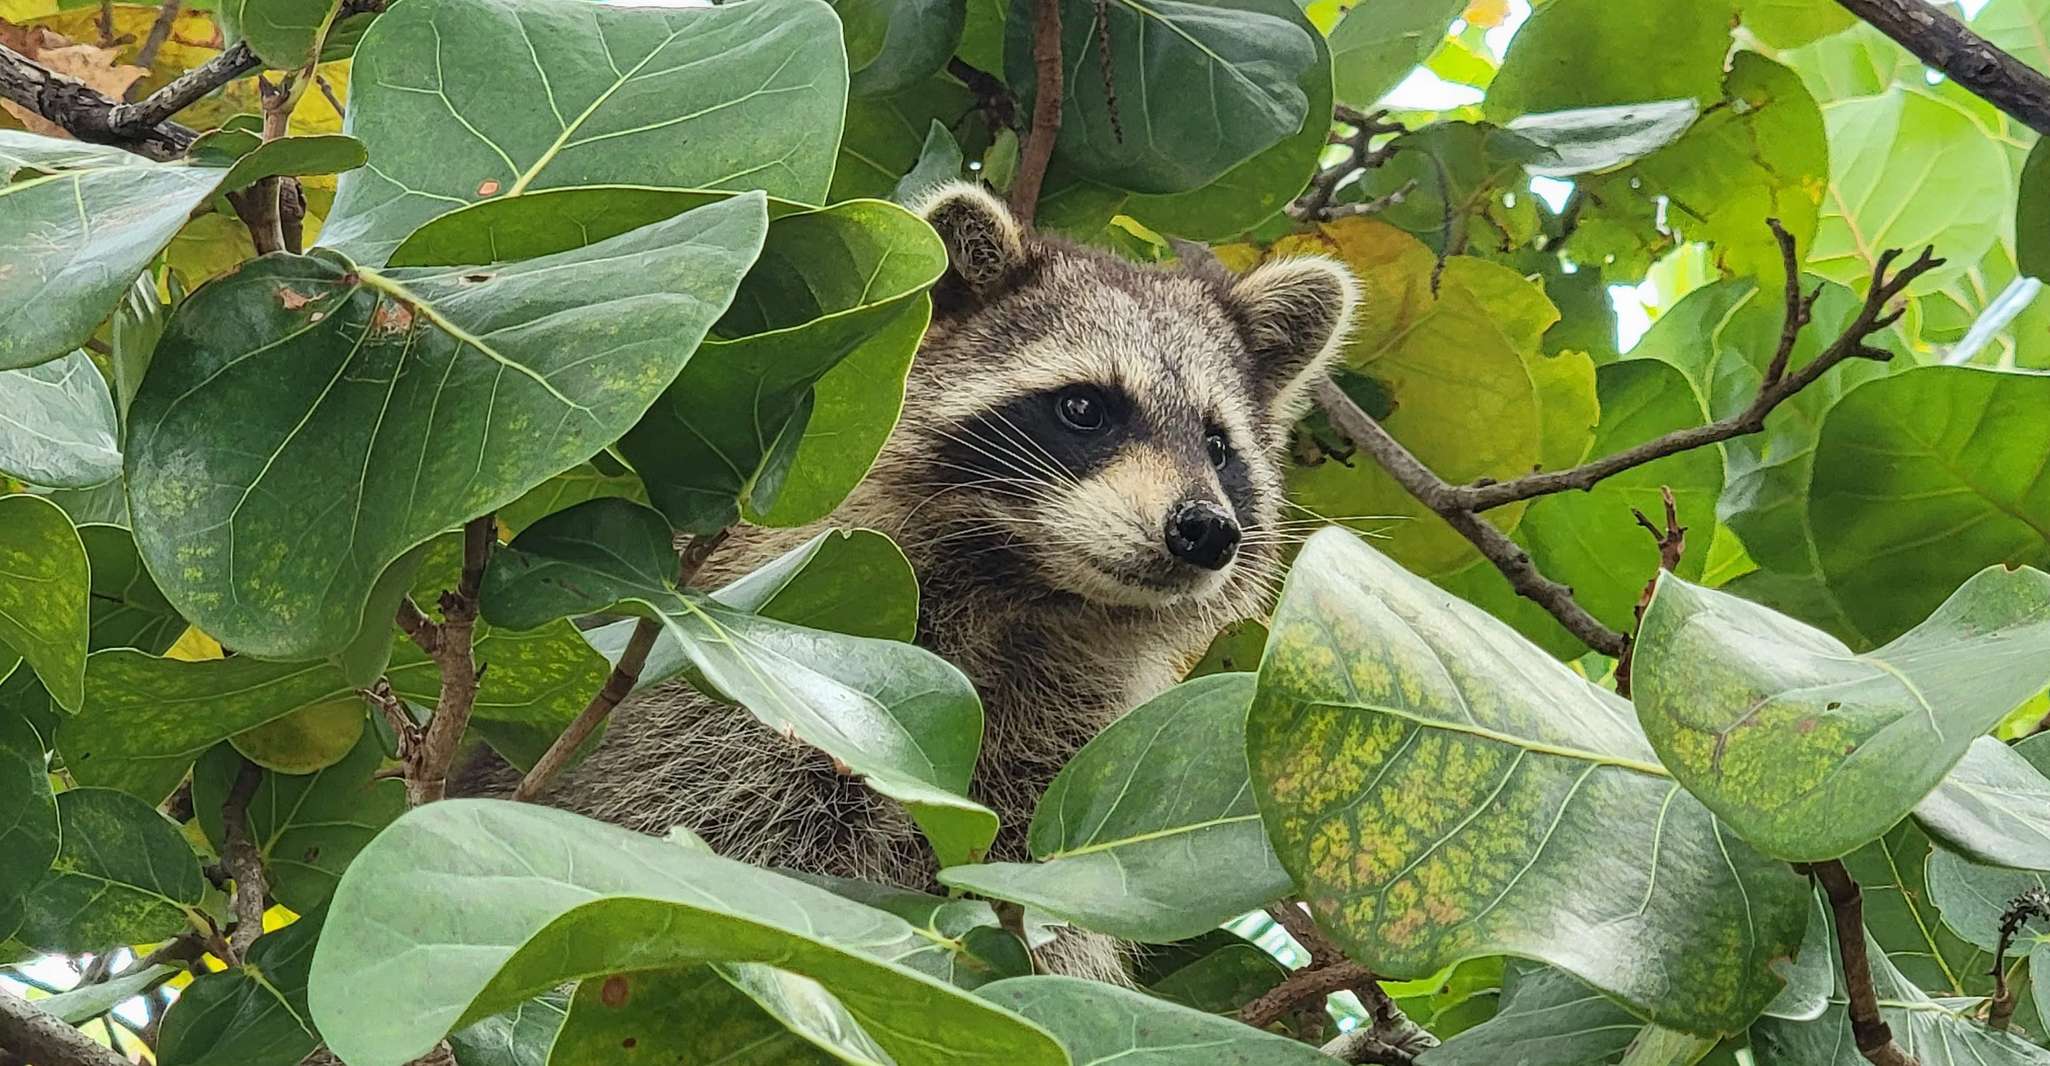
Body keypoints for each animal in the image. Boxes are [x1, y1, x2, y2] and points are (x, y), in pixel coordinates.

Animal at [471, 183, 1353, 984]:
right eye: (1083, 407)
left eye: (1217, 444)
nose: (1205, 530)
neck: (1025, 595)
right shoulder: (768, 697)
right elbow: (704, 824)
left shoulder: (1051, 763)